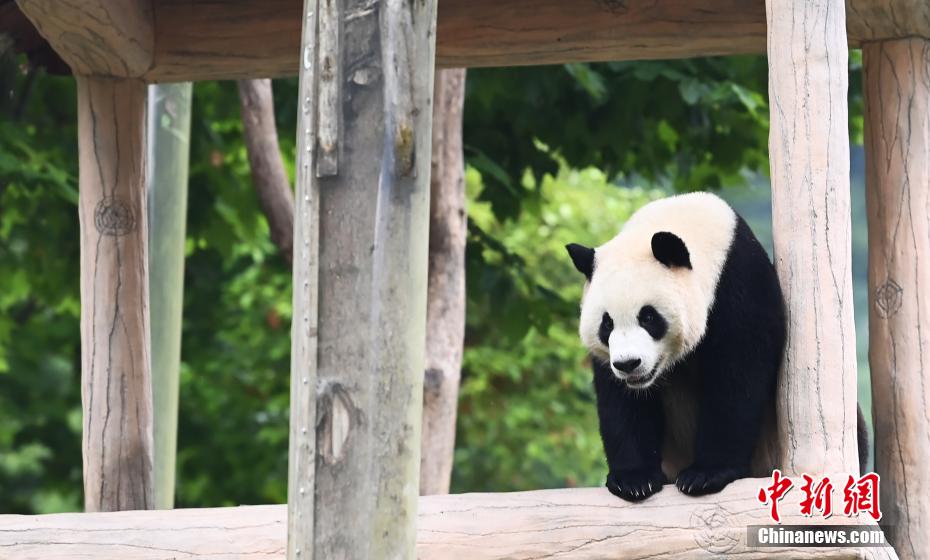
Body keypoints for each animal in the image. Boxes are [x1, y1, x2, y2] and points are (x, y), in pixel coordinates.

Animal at [560, 194, 868, 504]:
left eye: (648, 317)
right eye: (606, 324)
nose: (628, 364)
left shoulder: (740, 287)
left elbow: (738, 378)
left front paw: (706, 475)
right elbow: (623, 402)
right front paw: (634, 479)